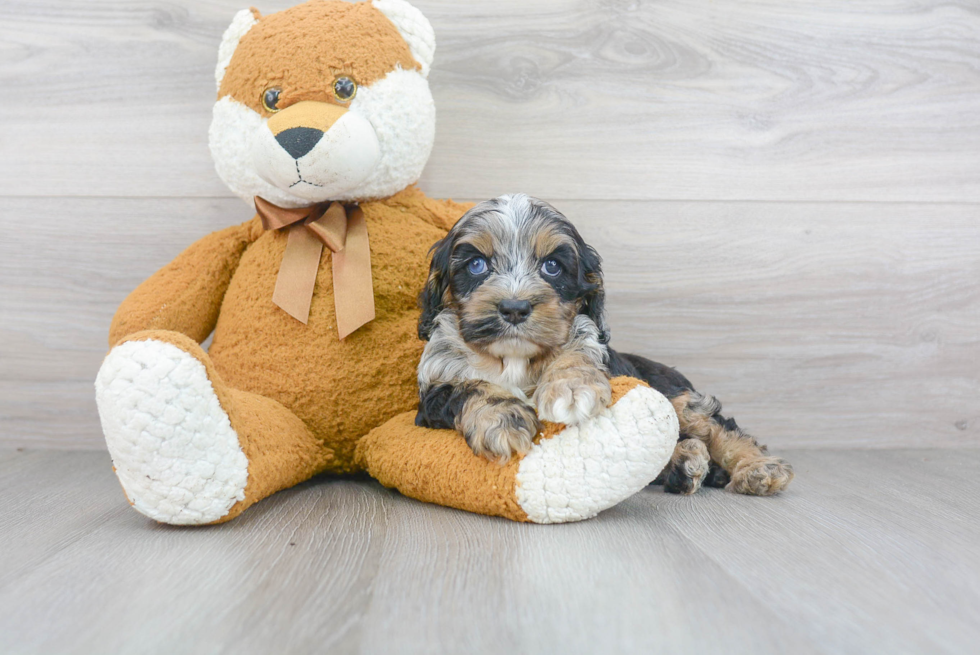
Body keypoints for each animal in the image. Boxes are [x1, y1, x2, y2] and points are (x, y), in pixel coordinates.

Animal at [416, 195, 796, 498]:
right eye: (476, 264)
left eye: (552, 266)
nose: (514, 308)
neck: (514, 358)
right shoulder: (432, 397)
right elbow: (469, 387)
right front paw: (503, 419)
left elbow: (576, 353)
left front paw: (571, 388)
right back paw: (684, 463)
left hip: (678, 396)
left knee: (720, 429)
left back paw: (758, 470)